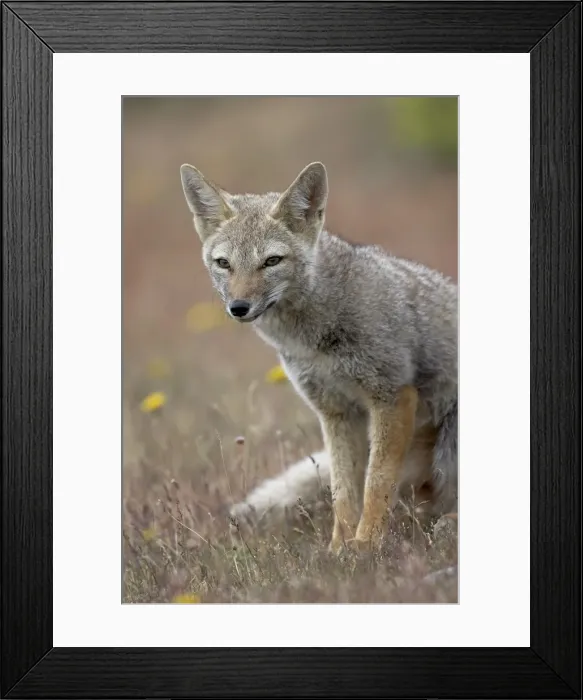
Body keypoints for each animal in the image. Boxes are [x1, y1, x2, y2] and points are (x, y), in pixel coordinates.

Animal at [180, 160, 458, 552]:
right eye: (224, 263)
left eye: (271, 261)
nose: (238, 307)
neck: (314, 339)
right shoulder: (335, 412)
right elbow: (343, 492)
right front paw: (339, 550)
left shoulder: (392, 396)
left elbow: (375, 485)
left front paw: (367, 546)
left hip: (449, 445)